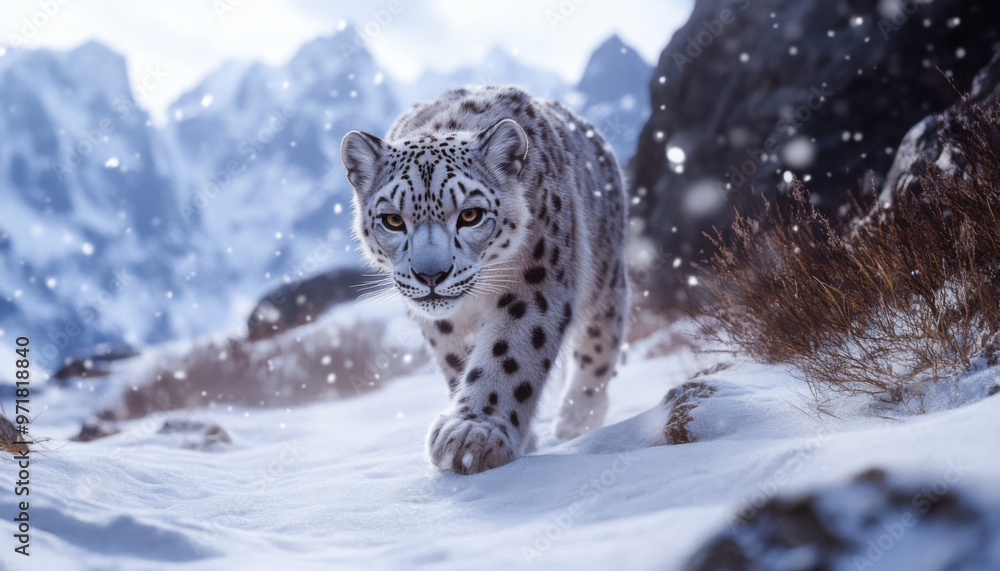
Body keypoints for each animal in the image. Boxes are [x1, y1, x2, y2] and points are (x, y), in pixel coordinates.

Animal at [341, 85, 628, 474]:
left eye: (470, 215)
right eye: (393, 220)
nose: (430, 274)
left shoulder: (535, 281)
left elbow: (510, 354)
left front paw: (473, 434)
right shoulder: (444, 322)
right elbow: (458, 360)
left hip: (605, 279)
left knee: (598, 348)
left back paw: (577, 420)